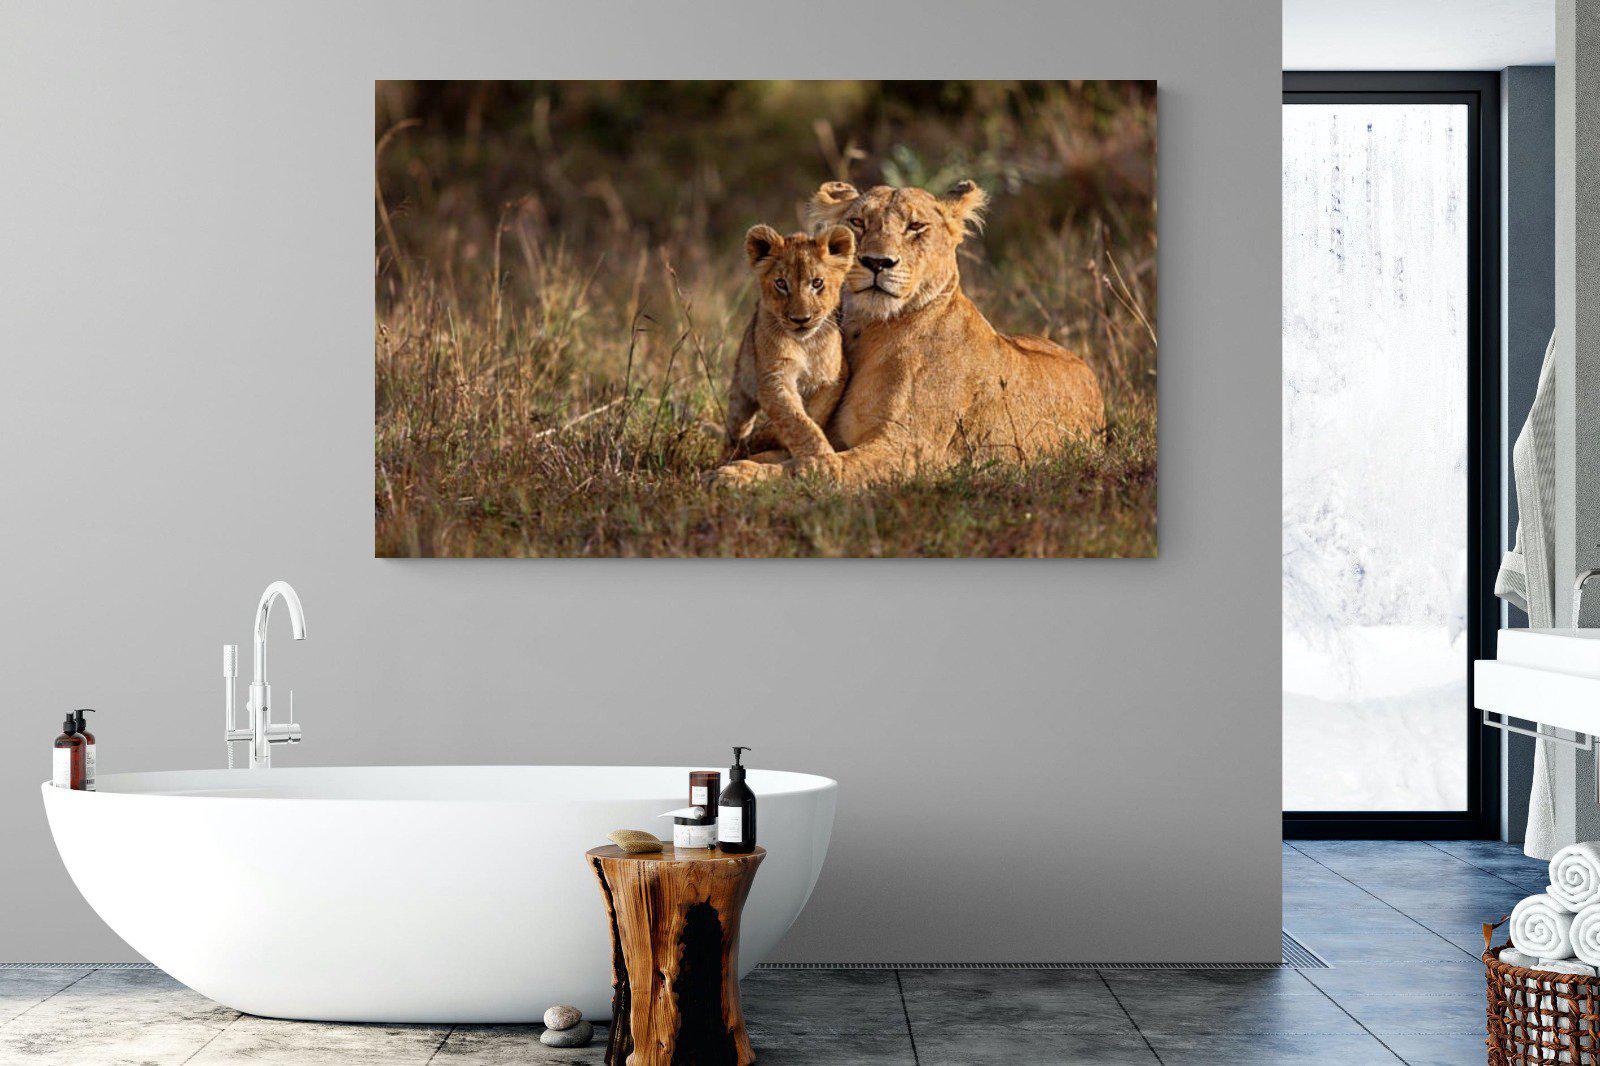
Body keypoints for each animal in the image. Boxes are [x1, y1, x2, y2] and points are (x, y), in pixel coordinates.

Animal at [724, 223, 855, 461]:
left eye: (817, 283)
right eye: (781, 283)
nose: (801, 319)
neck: (806, 345)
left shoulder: (834, 377)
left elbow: (813, 414)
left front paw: (774, 437)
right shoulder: (774, 377)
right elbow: (796, 420)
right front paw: (821, 459)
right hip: (741, 388)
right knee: (735, 429)